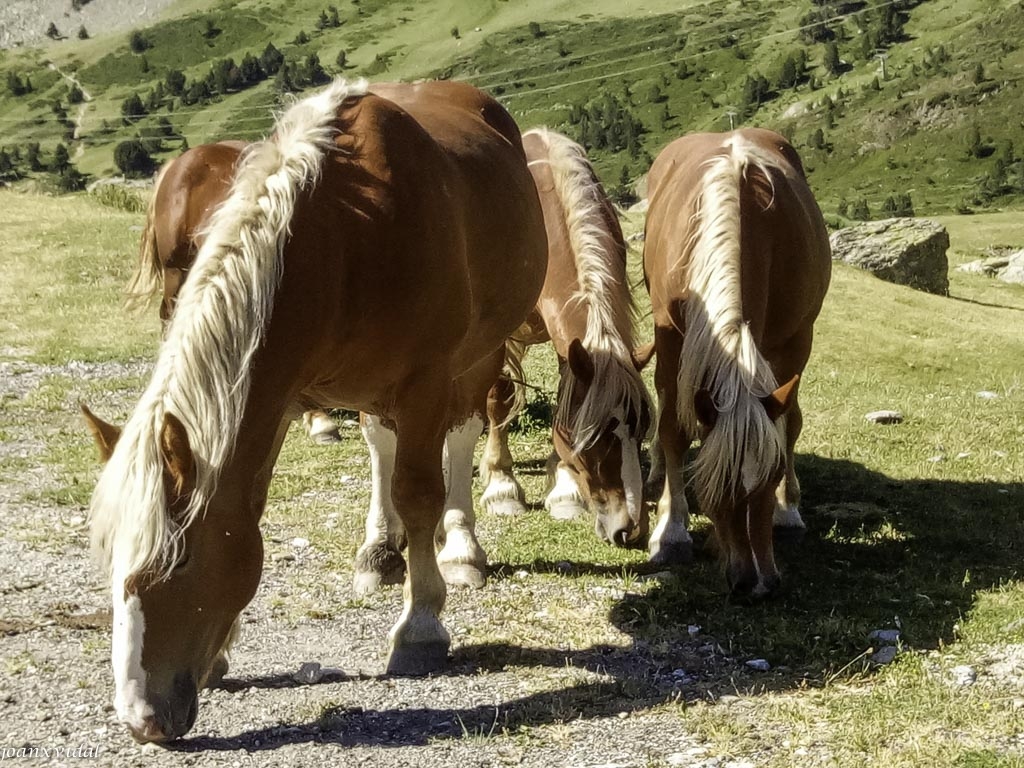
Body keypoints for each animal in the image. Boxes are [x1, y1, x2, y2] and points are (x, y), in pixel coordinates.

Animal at [477, 128, 651, 548]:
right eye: (595, 439)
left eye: (642, 428)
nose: (630, 529)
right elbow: (497, 397)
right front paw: (501, 487)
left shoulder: (571, 350)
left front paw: (565, 490)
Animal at [647, 131, 831, 602]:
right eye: (715, 489)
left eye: (770, 477)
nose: (757, 583)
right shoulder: (670, 338)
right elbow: (674, 427)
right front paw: (671, 530)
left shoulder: (794, 342)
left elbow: (788, 424)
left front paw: (785, 508)